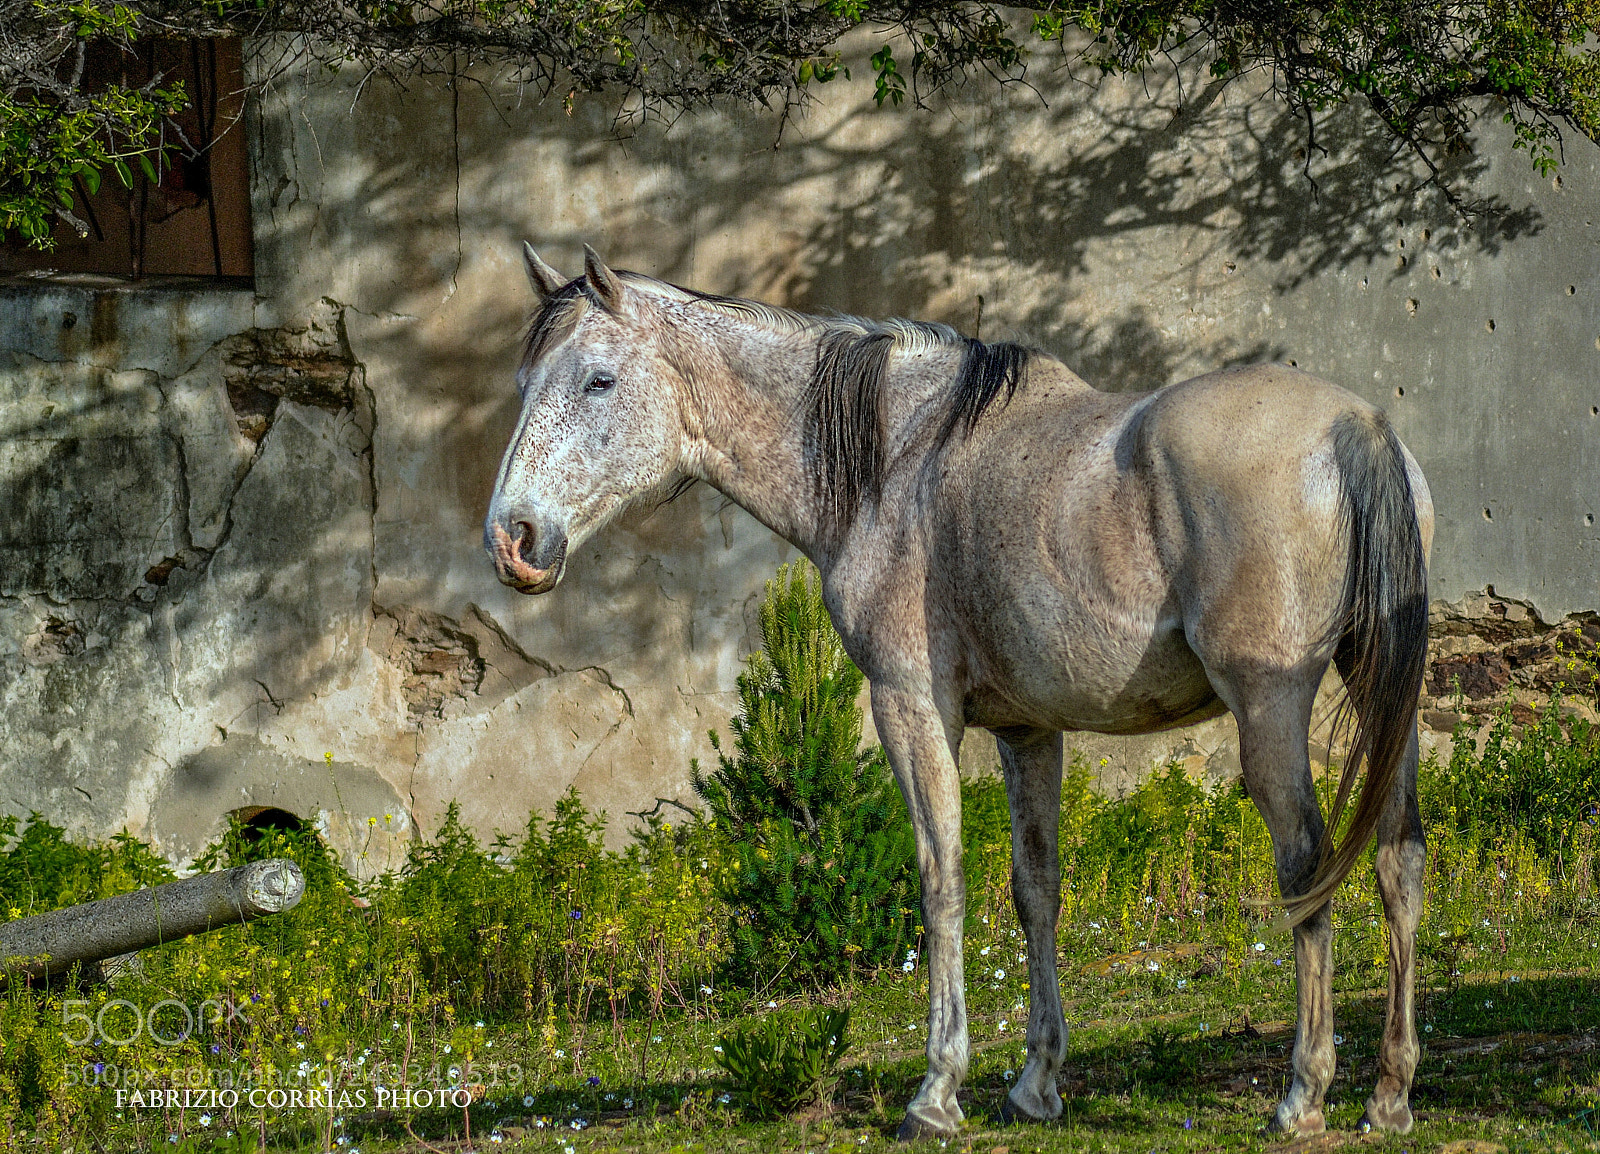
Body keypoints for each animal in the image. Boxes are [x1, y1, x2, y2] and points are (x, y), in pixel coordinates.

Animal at [485, 245, 1432, 1141]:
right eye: (525, 382)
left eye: (599, 379)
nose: (513, 539)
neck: (896, 462)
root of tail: (1357, 427)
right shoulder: (1029, 733)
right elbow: (1036, 890)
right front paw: (1035, 1085)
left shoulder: (909, 707)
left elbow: (942, 884)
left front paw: (937, 1092)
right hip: (1386, 701)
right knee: (1400, 860)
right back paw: (1388, 1095)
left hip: (1269, 712)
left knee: (1308, 867)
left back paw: (1303, 1096)